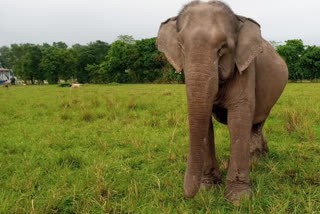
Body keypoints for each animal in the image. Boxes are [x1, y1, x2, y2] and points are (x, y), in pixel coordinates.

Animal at [155, 0, 288, 204]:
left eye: (223, 48)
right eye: (181, 47)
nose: (187, 194)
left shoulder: (245, 67)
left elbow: (239, 117)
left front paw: (239, 199)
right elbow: (205, 122)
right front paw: (207, 189)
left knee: (256, 123)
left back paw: (256, 160)